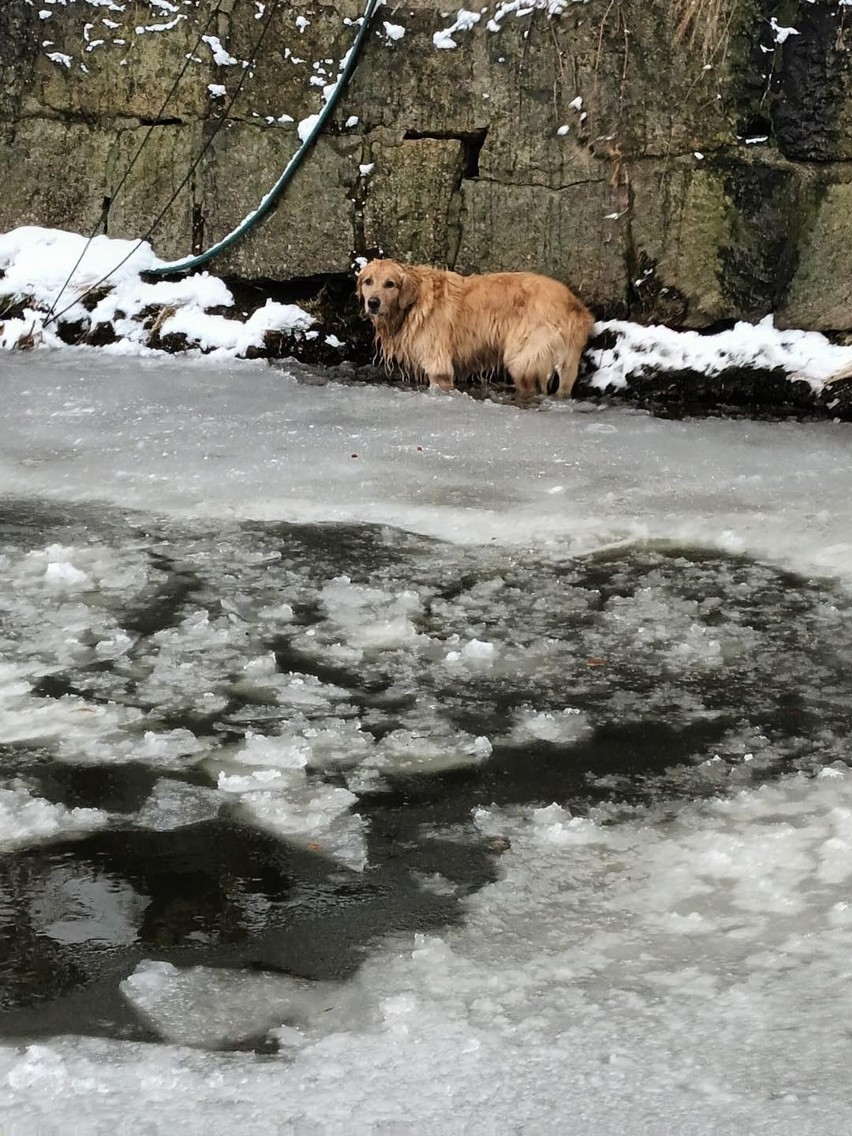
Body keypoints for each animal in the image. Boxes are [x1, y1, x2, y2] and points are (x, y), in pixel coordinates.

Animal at [354, 259, 595, 397]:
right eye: (368, 281)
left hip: (523, 357)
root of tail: (575, 306)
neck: (413, 304)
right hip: (566, 363)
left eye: (390, 284)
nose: (373, 303)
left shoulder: (438, 365)